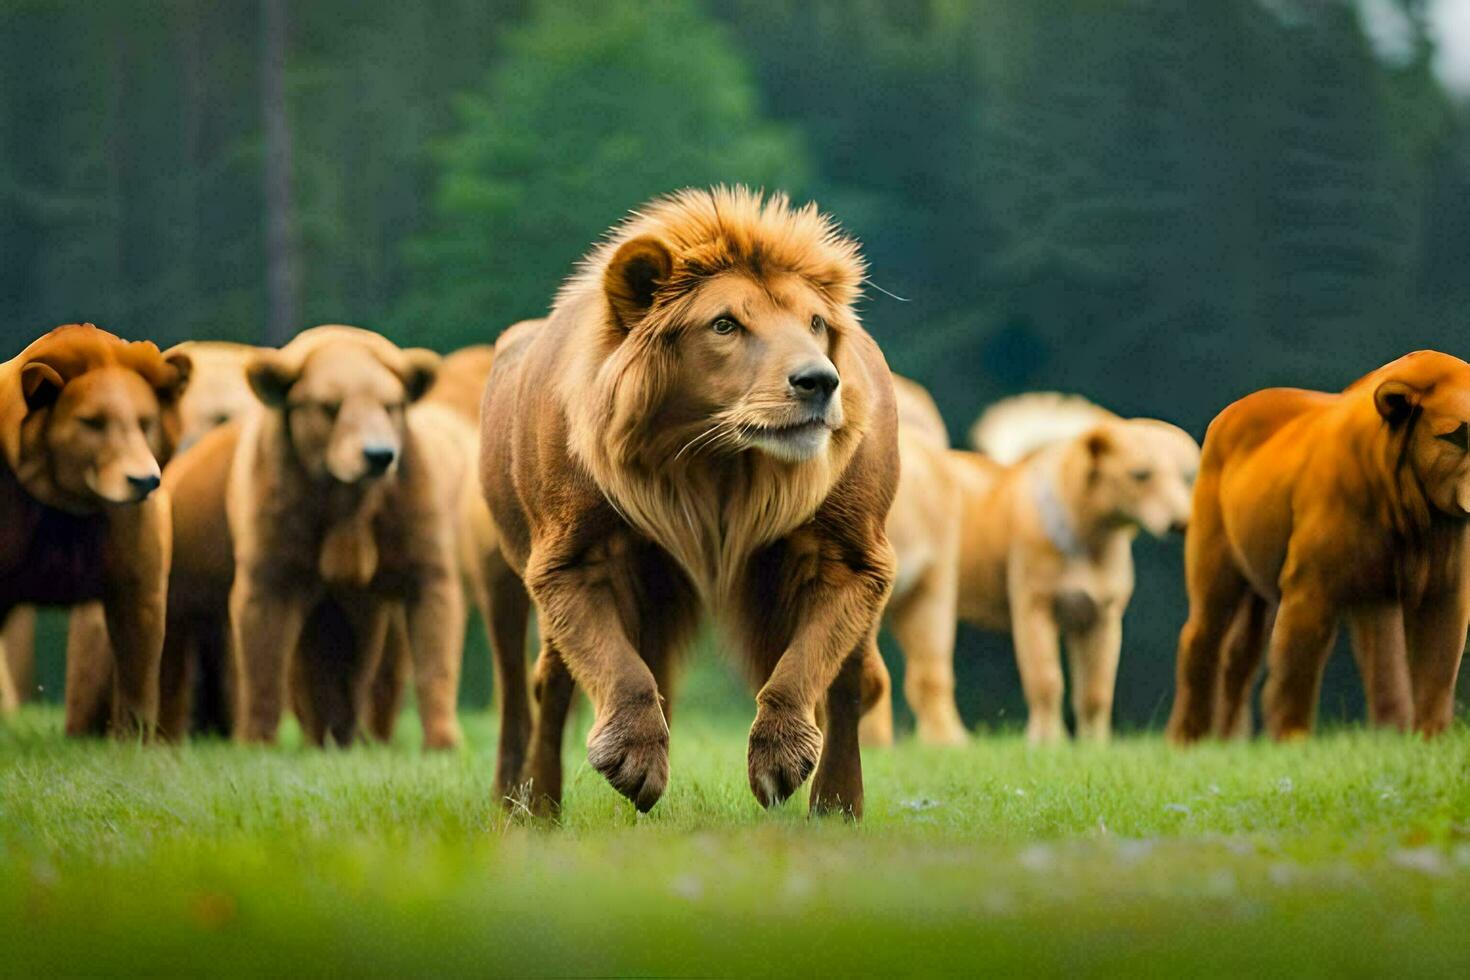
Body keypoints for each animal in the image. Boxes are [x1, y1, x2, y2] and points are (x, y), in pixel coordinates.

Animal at [0, 326, 189, 731]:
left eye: (145, 422)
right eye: (93, 422)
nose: (144, 480)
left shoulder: (135, 566)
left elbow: (138, 669)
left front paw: (133, 739)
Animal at [482, 188, 893, 816]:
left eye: (815, 322)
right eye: (725, 324)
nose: (821, 381)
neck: (715, 464)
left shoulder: (846, 555)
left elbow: (802, 668)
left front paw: (779, 759)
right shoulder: (574, 558)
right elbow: (622, 671)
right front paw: (634, 763)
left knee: (850, 682)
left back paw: (837, 808)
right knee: (552, 685)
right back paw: (535, 809)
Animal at [1176, 348, 1470, 740]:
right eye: (1457, 437)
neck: (1412, 515)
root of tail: (1228, 412)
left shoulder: (1442, 591)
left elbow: (1435, 670)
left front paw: (1429, 740)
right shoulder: (1309, 587)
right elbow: (1294, 668)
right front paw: (1292, 742)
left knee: (1242, 657)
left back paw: (1229, 741)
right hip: (1217, 571)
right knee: (1200, 640)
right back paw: (1188, 740)